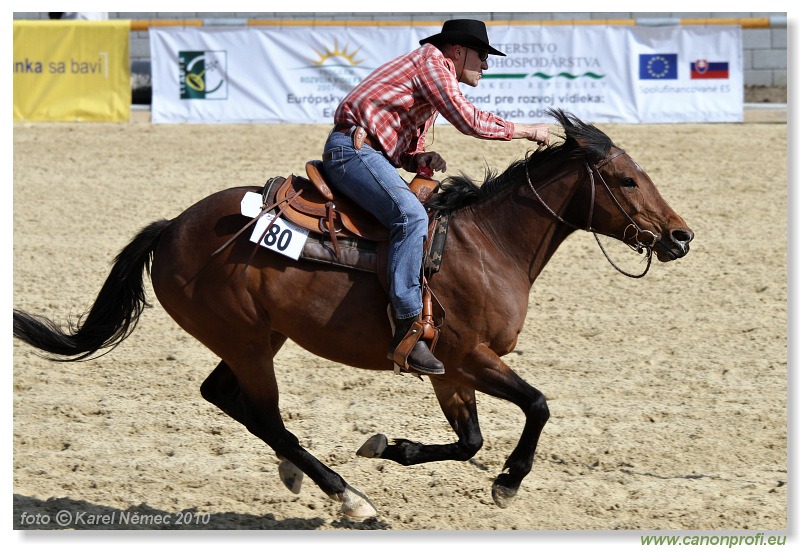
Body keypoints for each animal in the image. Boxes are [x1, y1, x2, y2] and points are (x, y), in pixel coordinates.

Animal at [12, 109, 692, 516]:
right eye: (626, 181)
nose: (681, 237)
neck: (487, 245)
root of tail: (171, 228)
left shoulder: (450, 372)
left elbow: (468, 440)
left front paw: (389, 445)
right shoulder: (469, 356)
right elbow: (538, 405)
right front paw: (508, 482)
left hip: (258, 338)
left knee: (225, 397)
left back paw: (302, 475)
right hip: (249, 342)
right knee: (263, 413)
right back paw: (347, 498)